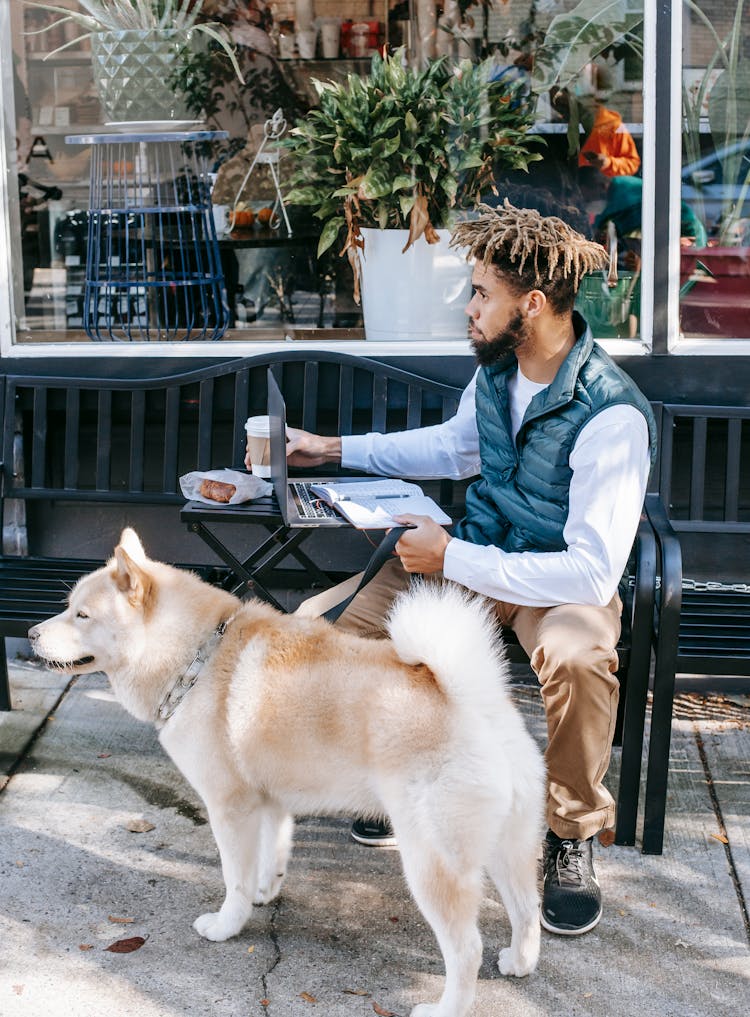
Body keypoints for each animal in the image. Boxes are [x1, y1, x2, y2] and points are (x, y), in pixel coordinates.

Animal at [29, 528, 545, 1012]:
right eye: (68, 608)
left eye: (82, 615)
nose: (31, 634)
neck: (198, 660)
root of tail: (469, 698)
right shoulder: (269, 803)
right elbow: (268, 857)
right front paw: (264, 892)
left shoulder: (229, 808)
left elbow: (233, 877)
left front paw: (227, 924)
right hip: (508, 848)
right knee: (526, 909)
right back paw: (520, 962)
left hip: (431, 862)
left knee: (467, 949)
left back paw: (444, 1008)